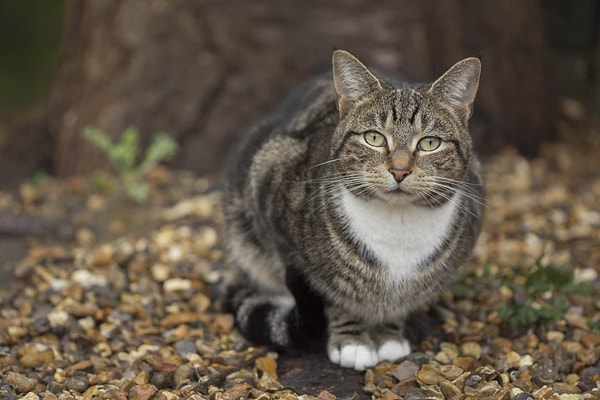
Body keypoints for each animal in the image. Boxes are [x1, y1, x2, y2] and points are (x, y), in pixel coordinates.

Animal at [223, 50, 486, 372]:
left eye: (429, 143)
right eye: (374, 138)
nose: (400, 170)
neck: (397, 223)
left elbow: (401, 302)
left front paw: (389, 335)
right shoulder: (280, 216)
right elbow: (332, 295)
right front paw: (352, 342)